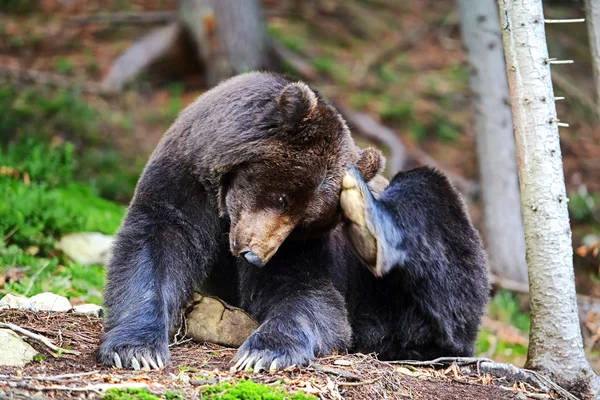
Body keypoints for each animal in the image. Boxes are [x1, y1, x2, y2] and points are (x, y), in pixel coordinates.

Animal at [98, 71, 490, 372]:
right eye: (282, 197)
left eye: (305, 223)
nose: (254, 255)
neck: (223, 208)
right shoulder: (185, 179)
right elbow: (156, 245)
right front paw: (135, 350)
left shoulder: (303, 251)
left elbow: (305, 293)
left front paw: (264, 352)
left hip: (414, 297)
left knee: (432, 206)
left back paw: (367, 216)